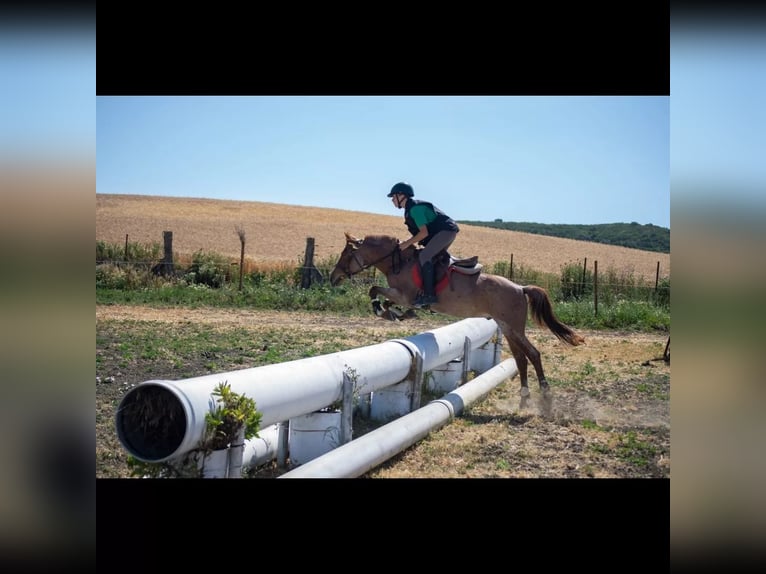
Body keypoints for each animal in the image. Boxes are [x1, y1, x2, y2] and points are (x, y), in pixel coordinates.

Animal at [330, 234, 588, 396]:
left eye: (346, 254)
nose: (333, 278)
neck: (399, 262)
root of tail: (520, 287)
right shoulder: (401, 295)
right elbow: (385, 298)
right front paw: (396, 314)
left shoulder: (404, 294)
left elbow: (375, 290)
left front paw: (384, 311)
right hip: (507, 327)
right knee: (521, 358)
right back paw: (524, 394)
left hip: (513, 327)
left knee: (532, 353)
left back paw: (544, 392)